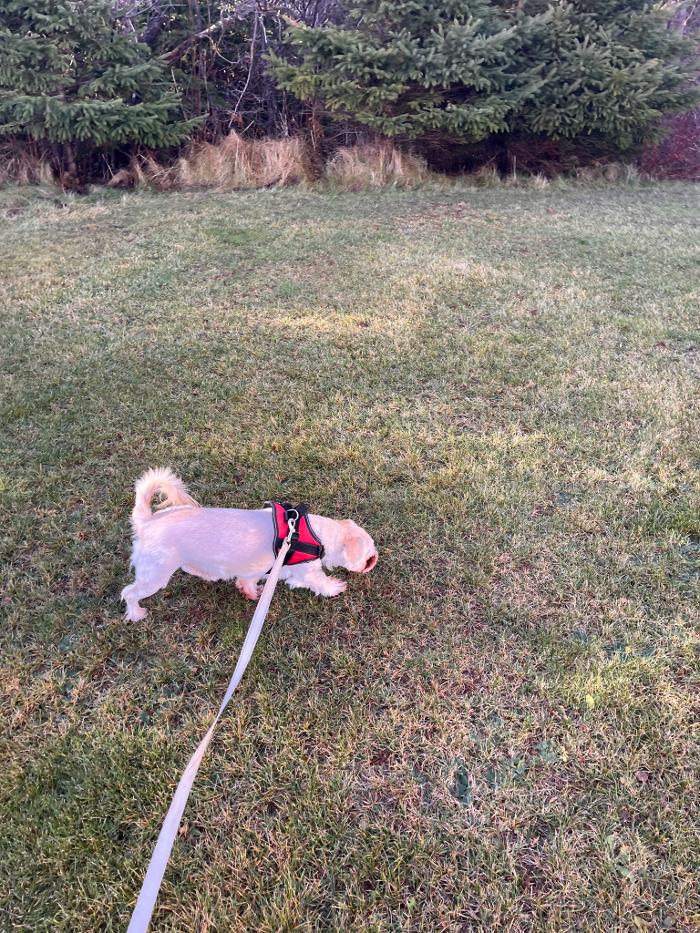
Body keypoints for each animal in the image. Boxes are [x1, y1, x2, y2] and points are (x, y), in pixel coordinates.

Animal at [121, 468, 378, 621]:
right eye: (368, 556)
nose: (374, 561)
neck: (310, 532)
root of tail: (146, 522)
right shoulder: (307, 571)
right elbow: (320, 582)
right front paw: (335, 587)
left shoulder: (257, 568)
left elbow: (248, 581)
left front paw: (250, 592)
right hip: (155, 575)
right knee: (129, 592)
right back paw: (136, 613)